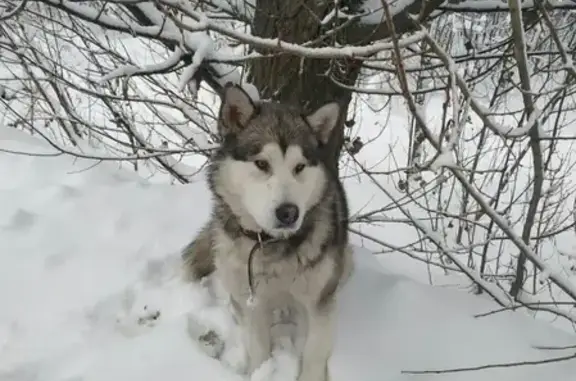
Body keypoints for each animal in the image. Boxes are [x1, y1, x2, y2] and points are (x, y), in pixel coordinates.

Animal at [182, 83, 354, 380]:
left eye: (299, 167)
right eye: (262, 164)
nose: (289, 213)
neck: (271, 246)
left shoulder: (319, 304)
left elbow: (313, 353)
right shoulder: (252, 303)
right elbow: (259, 349)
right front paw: (262, 371)